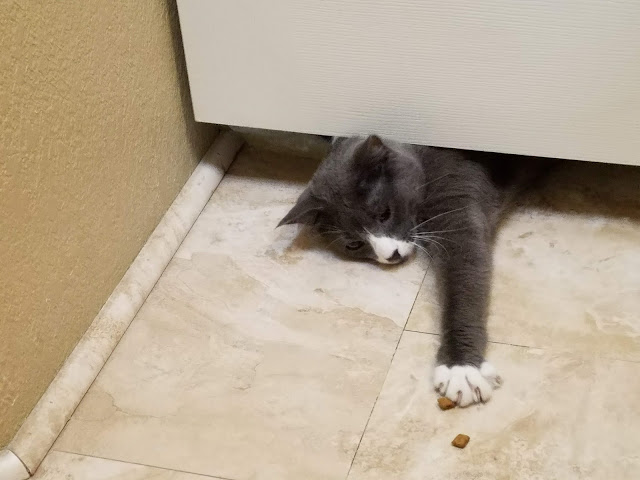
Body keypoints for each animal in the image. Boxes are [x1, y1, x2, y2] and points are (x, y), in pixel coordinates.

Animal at [278, 135, 548, 407]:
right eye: (353, 244)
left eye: (384, 213)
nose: (392, 255)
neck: (423, 160)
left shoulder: (457, 199)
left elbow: (463, 283)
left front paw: (461, 369)